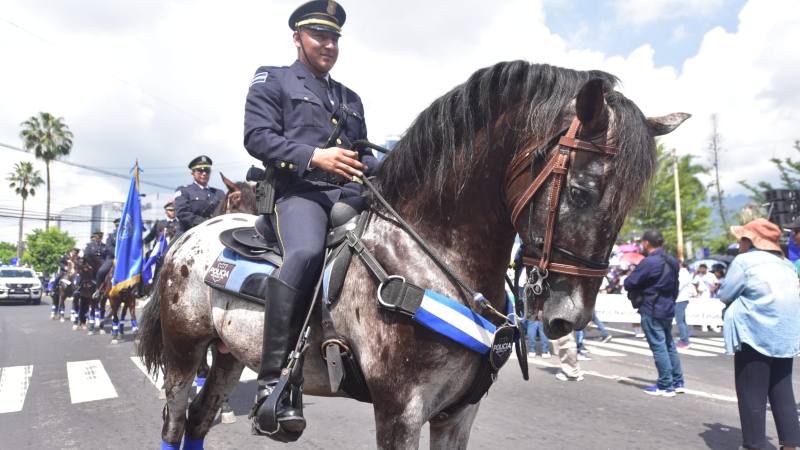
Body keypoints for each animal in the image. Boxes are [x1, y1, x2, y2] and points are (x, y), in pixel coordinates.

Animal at [138, 60, 688, 450]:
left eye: (627, 206)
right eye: (580, 191)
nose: (567, 317)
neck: (430, 257)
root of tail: (187, 240)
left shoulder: (458, 412)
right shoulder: (400, 409)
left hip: (230, 355)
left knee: (199, 421)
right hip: (185, 351)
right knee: (174, 423)